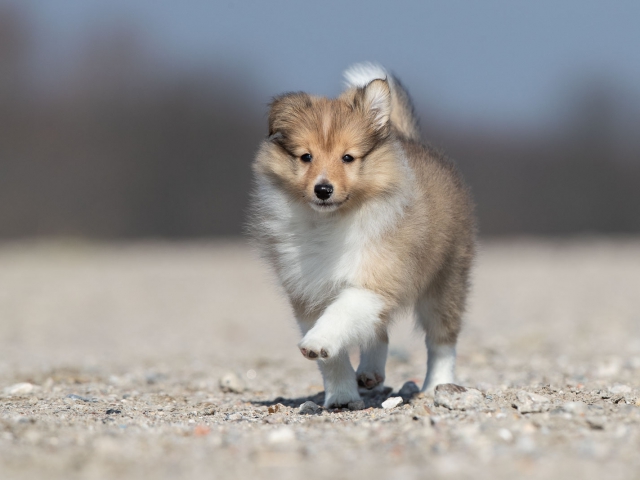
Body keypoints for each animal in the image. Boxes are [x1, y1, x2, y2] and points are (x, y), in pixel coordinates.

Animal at [250, 62, 476, 408]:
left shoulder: (375, 277)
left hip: (446, 281)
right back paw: (370, 372)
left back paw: (436, 386)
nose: (323, 189)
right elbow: (333, 358)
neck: (332, 221)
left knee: (441, 340)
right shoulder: (307, 292)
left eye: (348, 157)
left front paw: (316, 341)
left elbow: (342, 312)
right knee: (379, 330)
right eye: (306, 156)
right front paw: (341, 396)